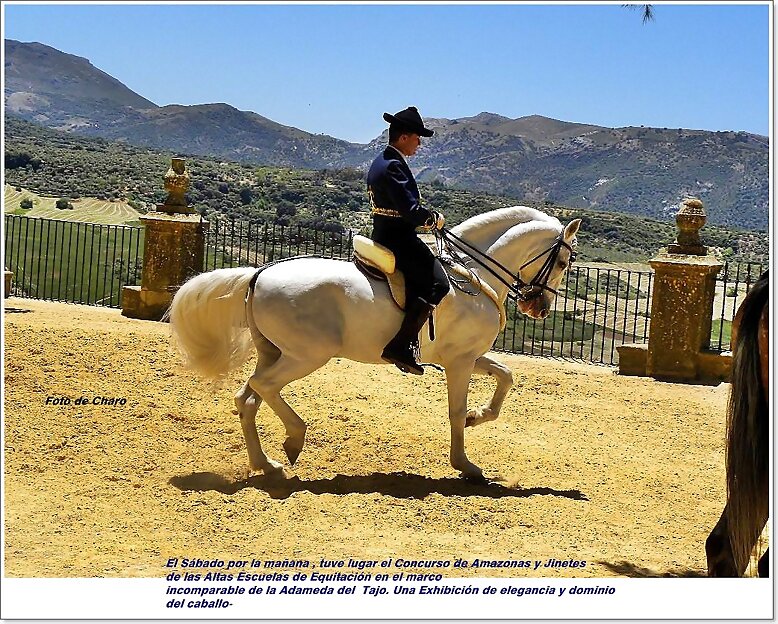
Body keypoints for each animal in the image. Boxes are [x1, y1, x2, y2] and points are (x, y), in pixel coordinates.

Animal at [171, 207, 584, 480]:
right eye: (563, 262)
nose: (539, 308)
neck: (473, 276)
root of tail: (259, 273)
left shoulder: (465, 356)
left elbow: (506, 376)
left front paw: (477, 416)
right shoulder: (460, 362)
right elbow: (455, 411)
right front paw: (465, 464)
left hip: (273, 352)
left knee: (248, 398)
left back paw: (265, 463)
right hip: (306, 356)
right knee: (263, 387)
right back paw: (294, 439)